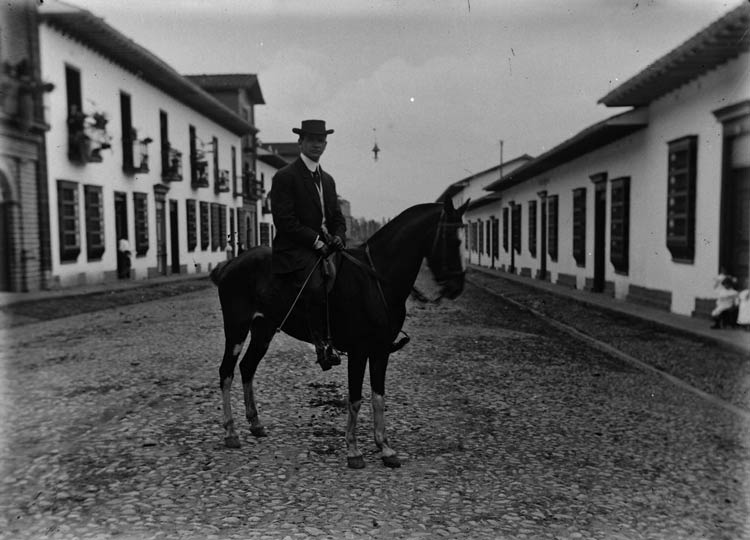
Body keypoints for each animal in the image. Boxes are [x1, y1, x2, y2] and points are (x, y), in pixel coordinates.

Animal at [212, 198, 470, 468]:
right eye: (452, 240)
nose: (456, 287)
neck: (375, 280)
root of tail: (230, 264)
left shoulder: (380, 351)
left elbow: (378, 397)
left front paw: (384, 447)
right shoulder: (359, 351)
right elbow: (355, 399)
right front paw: (354, 450)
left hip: (264, 329)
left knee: (247, 368)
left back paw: (255, 423)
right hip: (237, 328)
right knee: (227, 372)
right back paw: (231, 432)